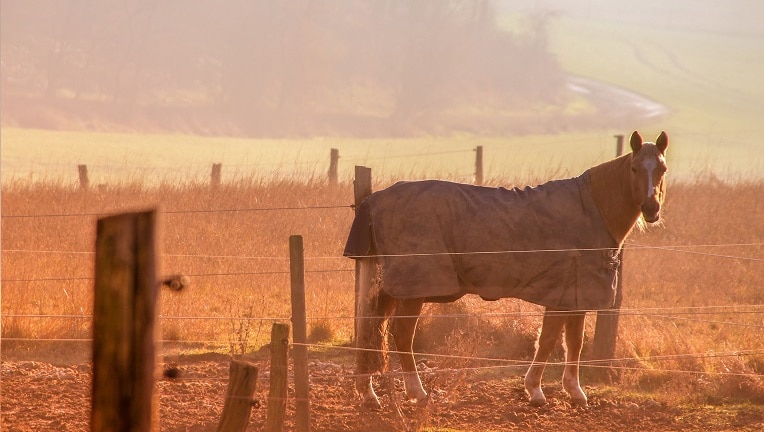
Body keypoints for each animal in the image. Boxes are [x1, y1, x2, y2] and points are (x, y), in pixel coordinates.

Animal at [344, 131, 664, 408]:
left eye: (662, 168)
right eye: (634, 168)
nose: (652, 209)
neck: (592, 208)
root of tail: (375, 199)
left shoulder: (576, 294)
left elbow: (573, 342)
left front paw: (575, 391)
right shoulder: (560, 297)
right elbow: (548, 341)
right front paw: (535, 391)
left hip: (394, 287)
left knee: (373, 329)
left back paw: (368, 392)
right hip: (414, 287)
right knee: (401, 335)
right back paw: (416, 392)